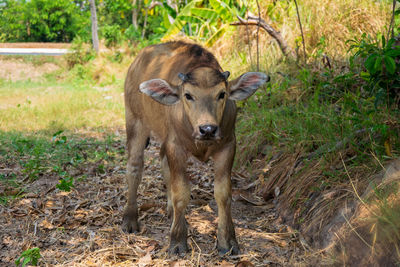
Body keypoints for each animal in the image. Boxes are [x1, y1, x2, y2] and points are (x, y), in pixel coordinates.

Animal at [123, 41, 270, 255]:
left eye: (222, 94)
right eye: (188, 95)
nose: (207, 129)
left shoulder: (228, 146)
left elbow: (223, 193)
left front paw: (227, 242)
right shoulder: (175, 147)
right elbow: (181, 192)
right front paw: (177, 241)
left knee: (163, 162)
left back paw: (170, 211)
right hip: (135, 121)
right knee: (134, 167)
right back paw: (130, 219)